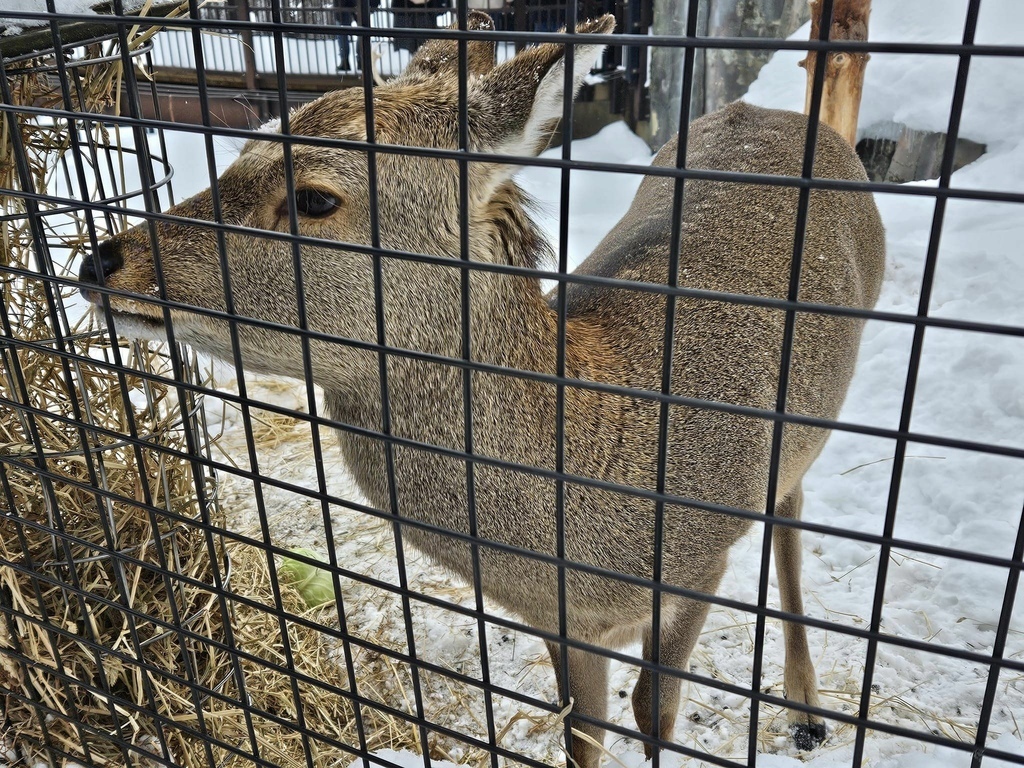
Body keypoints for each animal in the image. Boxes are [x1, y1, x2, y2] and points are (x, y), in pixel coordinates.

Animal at [79, 12, 884, 768]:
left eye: (314, 199)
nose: (99, 260)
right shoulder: (560, 622)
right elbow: (581, 732)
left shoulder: (699, 563)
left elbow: (654, 713)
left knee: (791, 517)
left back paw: (809, 711)